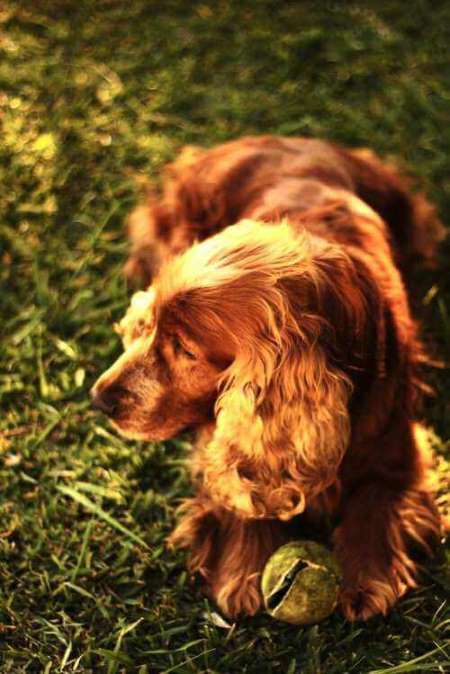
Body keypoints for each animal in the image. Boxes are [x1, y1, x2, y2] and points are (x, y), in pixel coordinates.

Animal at [89, 135, 444, 620]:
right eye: (155, 326)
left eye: (186, 350)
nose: (100, 398)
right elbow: (239, 485)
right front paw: (244, 570)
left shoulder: (395, 444)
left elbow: (377, 497)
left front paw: (368, 577)